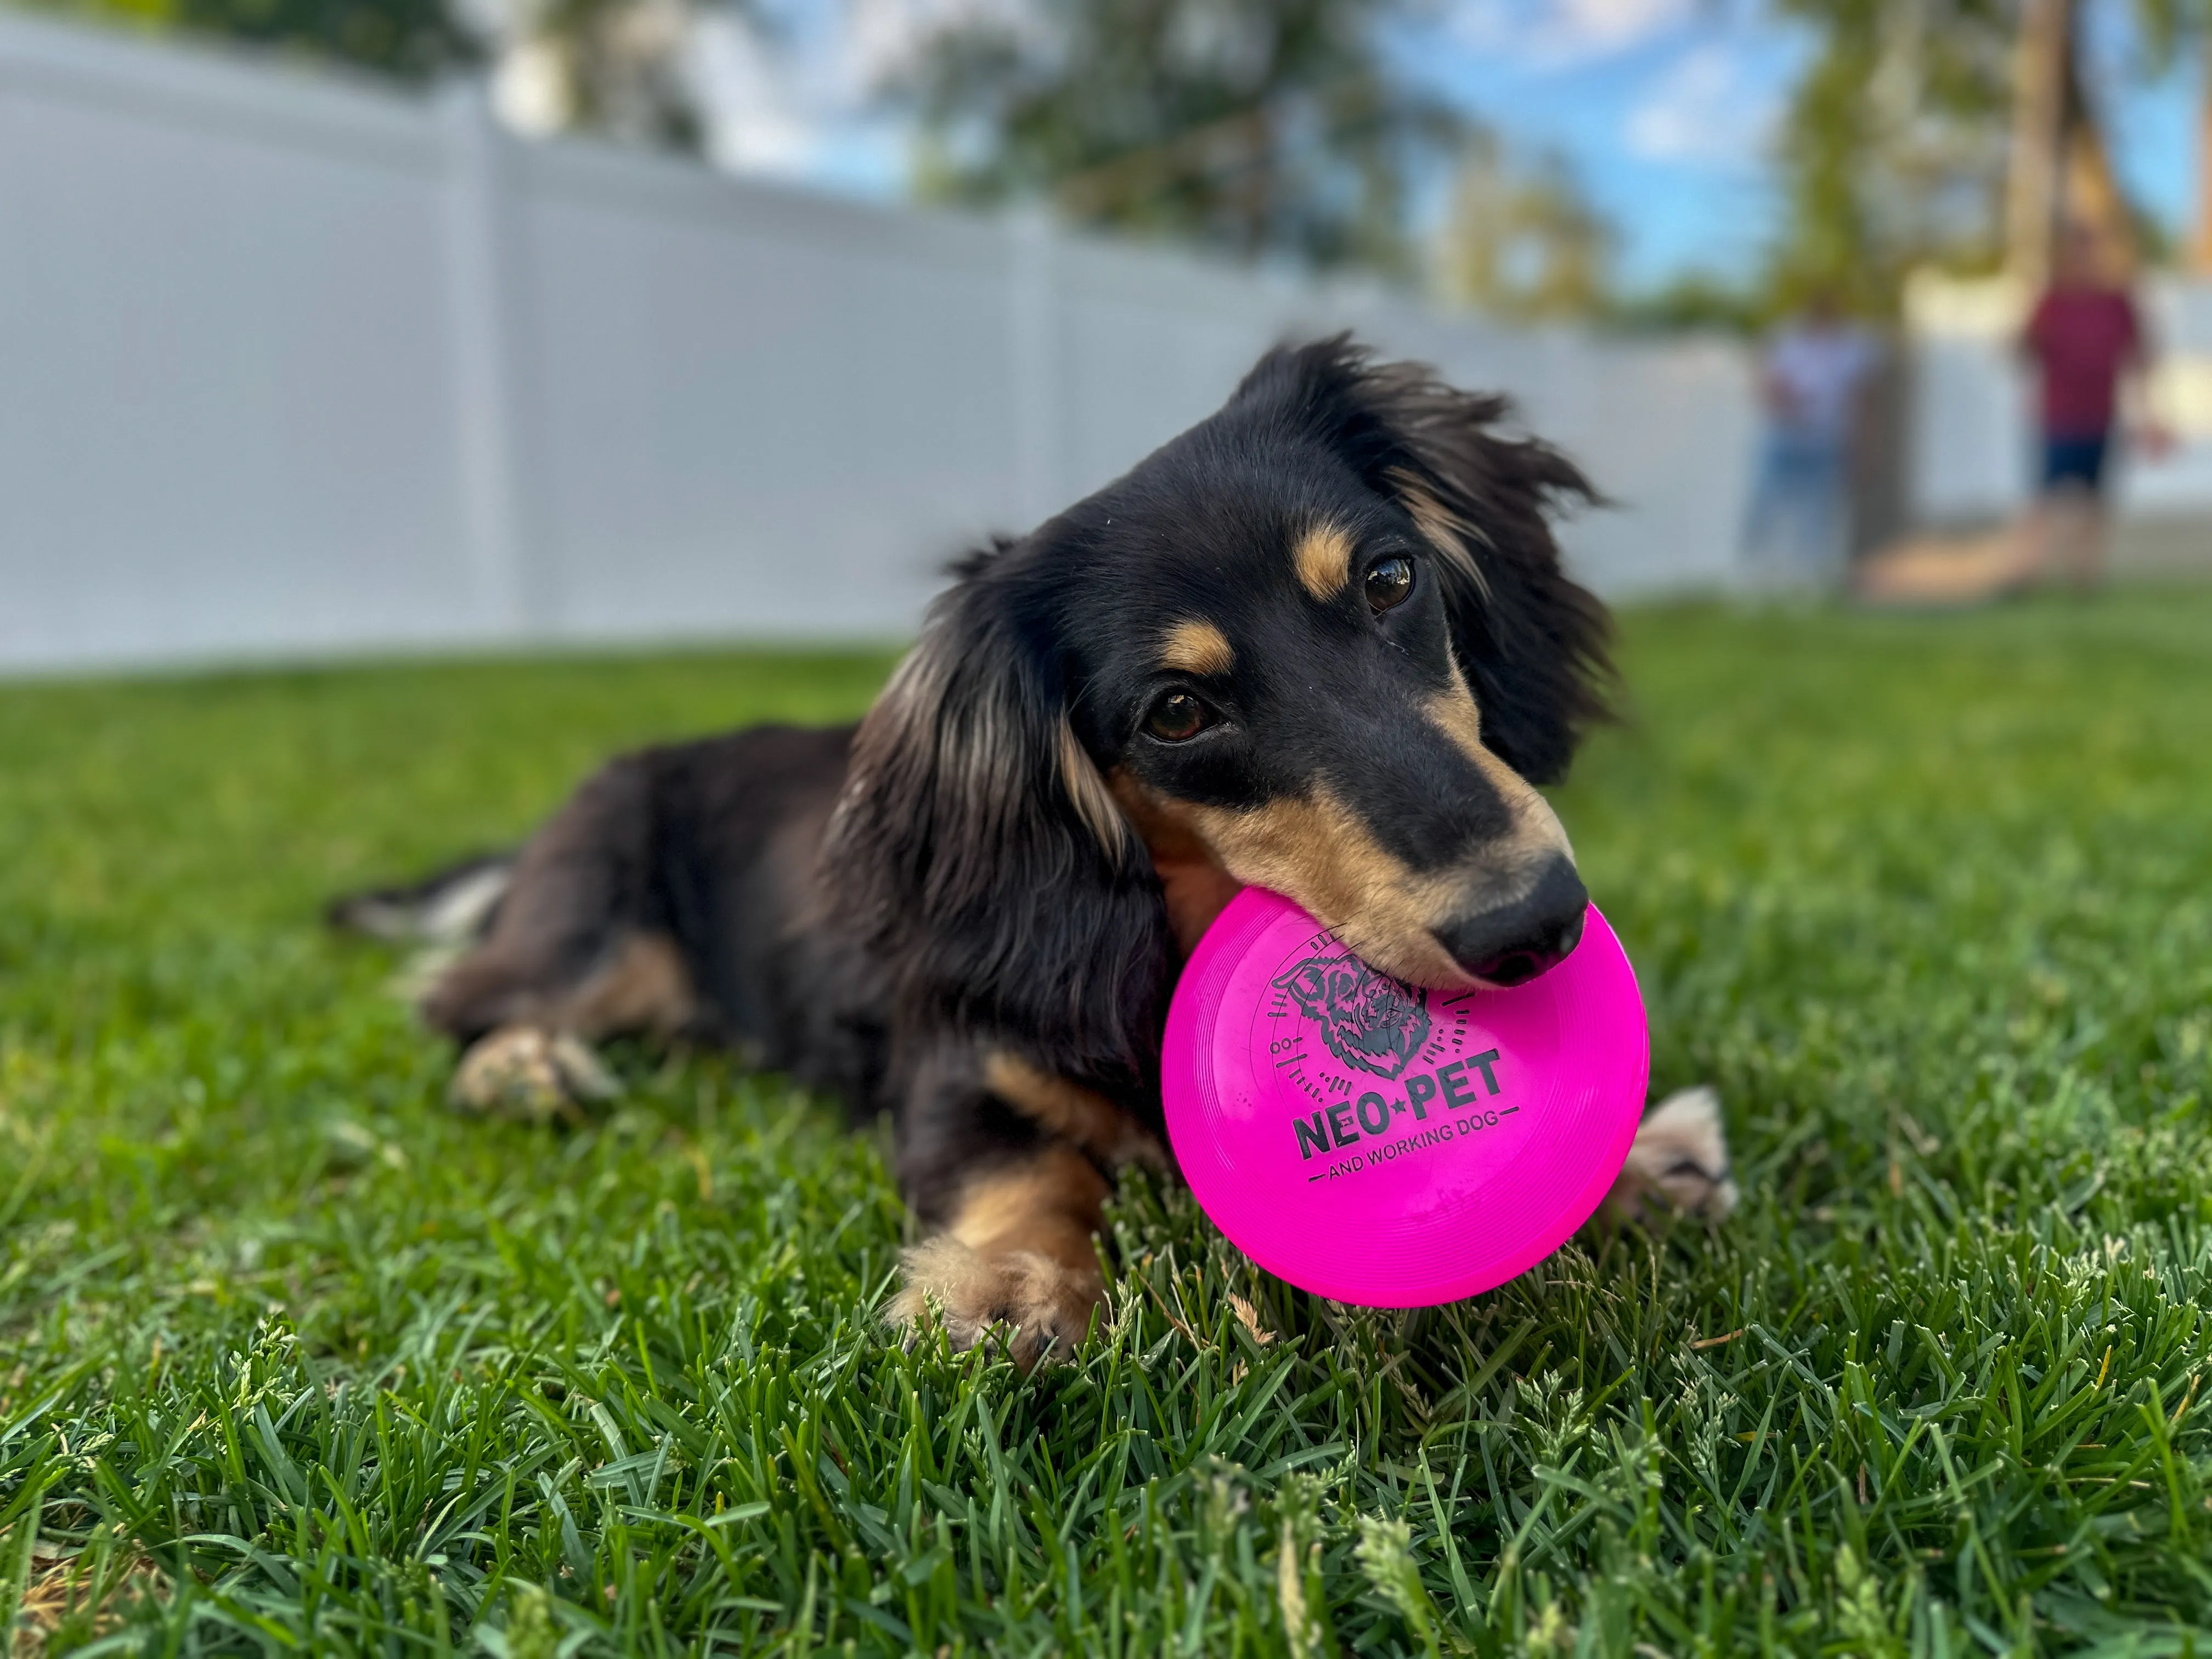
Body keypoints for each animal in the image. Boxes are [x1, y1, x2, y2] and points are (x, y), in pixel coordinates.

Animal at [336, 334, 1734, 1362]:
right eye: (1177, 713)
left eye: (1392, 580)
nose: (1535, 920)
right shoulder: (961, 1061)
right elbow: (1021, 1165)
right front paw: (1005, 1289)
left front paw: (1640, 1162)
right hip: (597, 930)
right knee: (467, 998)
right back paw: (523, 1068)